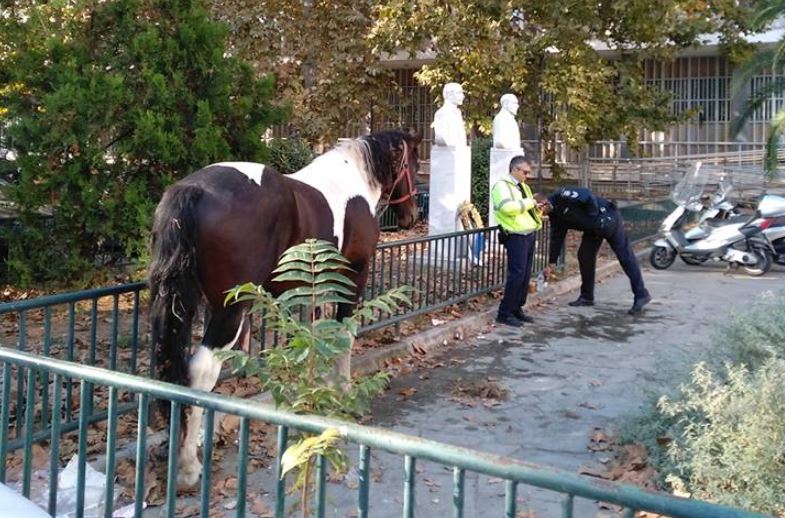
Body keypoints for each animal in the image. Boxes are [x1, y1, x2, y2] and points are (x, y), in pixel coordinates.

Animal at [145, 129, 420, 488]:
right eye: (413, 161)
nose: (412, 215)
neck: (353, 181)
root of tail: (195, 190)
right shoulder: (355, 273)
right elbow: (345, 333)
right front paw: (342, 390)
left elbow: (315, 333)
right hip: (230, 311)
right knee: (201, 371)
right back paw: (189, 466)